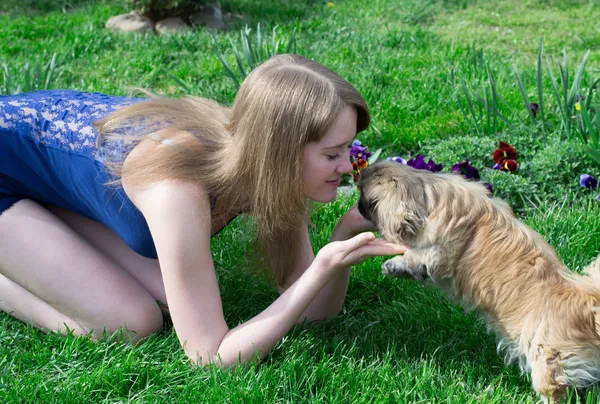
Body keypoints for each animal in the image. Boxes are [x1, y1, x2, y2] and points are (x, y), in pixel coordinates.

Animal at [358, 160, 600, 400]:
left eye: (365, 199)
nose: (358, 207)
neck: (428, 195)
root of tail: (588, 308)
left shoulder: (434, 253)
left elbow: (415, 258)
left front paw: (394, 265)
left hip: (547, 361)